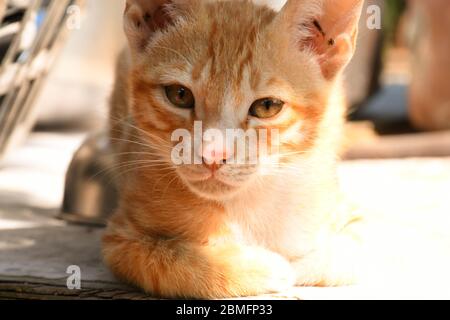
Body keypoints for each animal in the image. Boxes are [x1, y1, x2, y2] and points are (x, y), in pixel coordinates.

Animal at [103, 0, 368, 300]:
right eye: (179, 95)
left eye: (267, 106)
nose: (212, 154)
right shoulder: (120, 240)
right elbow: (173, 263)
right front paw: (262, 266)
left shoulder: (350, 214)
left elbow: (351, 254)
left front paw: (299, 263)